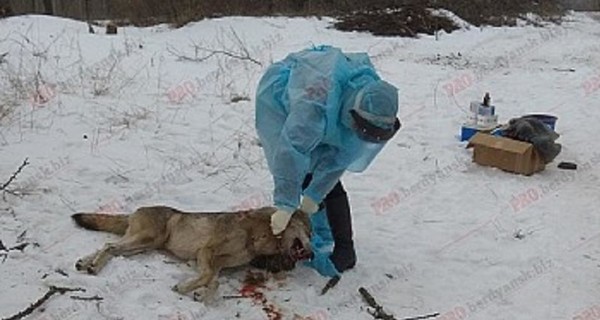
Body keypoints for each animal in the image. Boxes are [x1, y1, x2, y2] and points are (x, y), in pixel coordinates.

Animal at [72, 206, 312, 302]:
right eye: (309, 233)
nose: (311, 254)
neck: (260, 233)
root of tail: (134, 211)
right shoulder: (206, 252)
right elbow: (210, 279)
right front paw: (184, 288)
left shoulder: (215, 264)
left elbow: (214, 282)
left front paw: (201, 295)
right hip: (147, 240)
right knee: (110, 247)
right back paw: (93, 266)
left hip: (142, 245)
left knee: (108, 245)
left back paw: (85, 263)